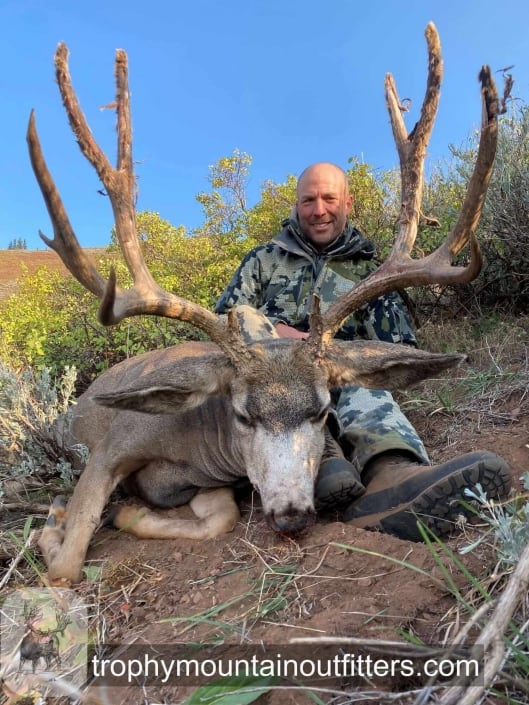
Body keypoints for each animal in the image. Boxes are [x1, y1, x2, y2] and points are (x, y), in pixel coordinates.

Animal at [32, 23, 504, 584]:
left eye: (323, 412)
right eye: (242, 415)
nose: (292, 514)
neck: (195, 442)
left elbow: (219, 516)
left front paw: (126, 512)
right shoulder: (109, 448)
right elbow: (67, 562)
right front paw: (55, 523)